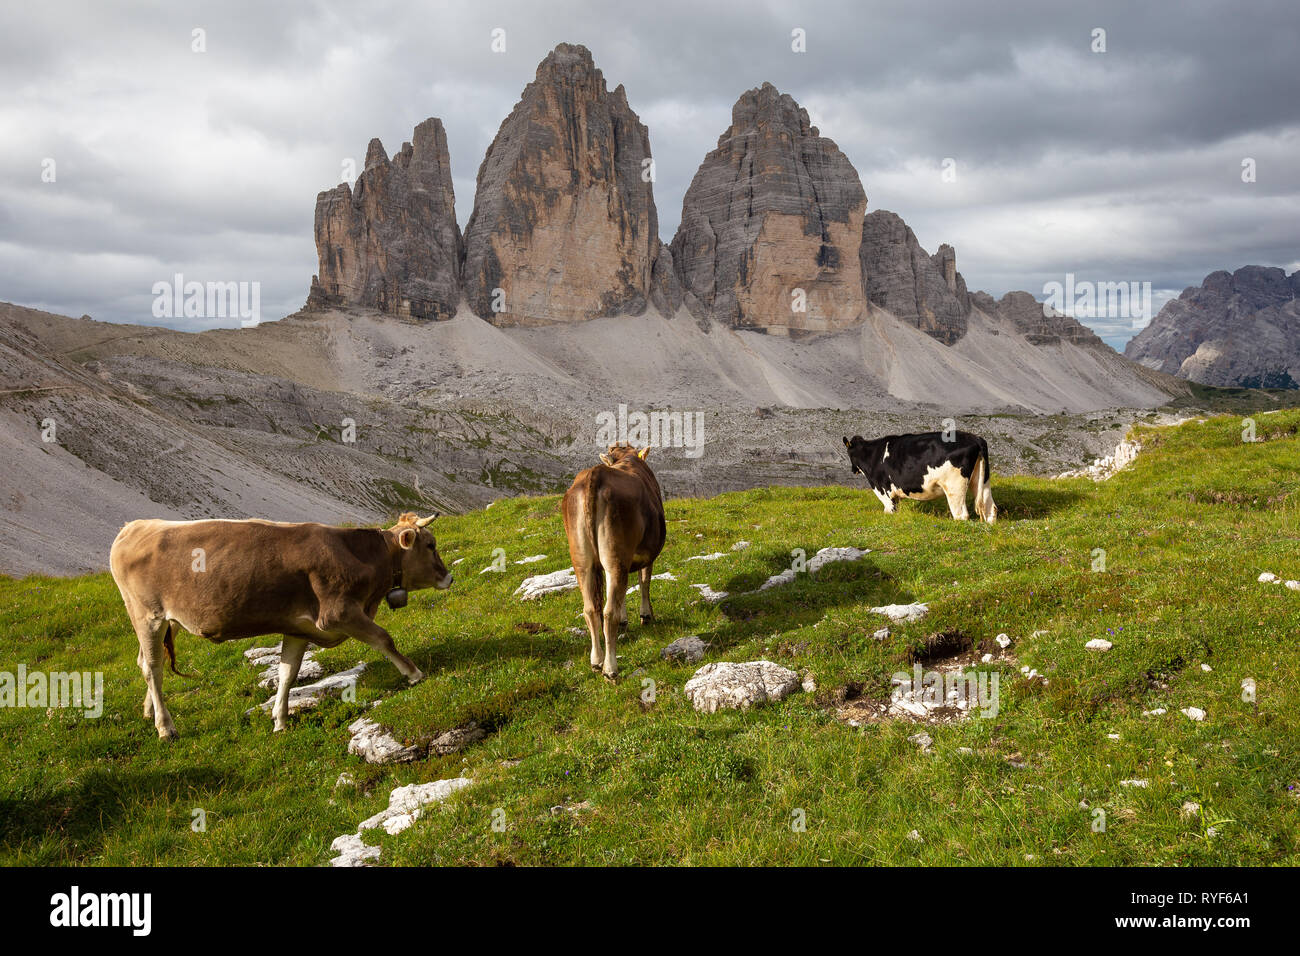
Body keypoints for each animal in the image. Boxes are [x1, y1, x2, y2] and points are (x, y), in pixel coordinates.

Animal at [107, 512, 452, 738]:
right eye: (430, 545)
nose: (449, 577)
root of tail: (134, 526)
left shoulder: (299, 628)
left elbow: (288, 673)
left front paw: (280, 720)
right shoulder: (339, 613)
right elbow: (383, 638)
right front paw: (414, 673)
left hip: (170, 620)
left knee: (145, 661)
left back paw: (149, 711)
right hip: (146, 615)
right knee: (153, 667)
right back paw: (166, 727)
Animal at [559, 442, 665, 681]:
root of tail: (595, 474)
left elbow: (621, 593)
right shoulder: (645, 555)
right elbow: (644, 582)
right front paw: (646, 615)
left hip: (582, 562)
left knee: (590, 609)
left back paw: (596, 661)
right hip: (615, 557)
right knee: (608, 613)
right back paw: (610, 668)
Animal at [842, 434, 993, 522]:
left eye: (849, 453)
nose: (852, 470)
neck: (872, 455)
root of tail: (975, 439)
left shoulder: (883, 490)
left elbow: (889, 510)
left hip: (954, 487)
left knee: (961, 515)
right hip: (982, 481)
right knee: (990, 509)